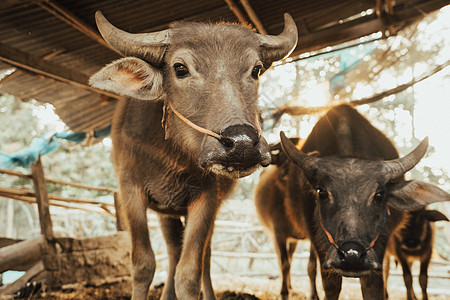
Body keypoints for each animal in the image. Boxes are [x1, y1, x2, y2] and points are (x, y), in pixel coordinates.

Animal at [89, 9, 298, 300]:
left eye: (255, 70)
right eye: (180, 68)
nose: (242, 143)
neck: (171, 156)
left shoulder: (206, 197)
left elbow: (189, 273)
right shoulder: (130, 190)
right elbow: (143, 264)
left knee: (203, 256)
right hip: (165, 210)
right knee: (173, 250)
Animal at [255, 104, 448, 298]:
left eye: (379, 195)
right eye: (321, 192)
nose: (352, 255)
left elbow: (373, 287)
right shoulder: (313, 241)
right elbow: (330, 285)